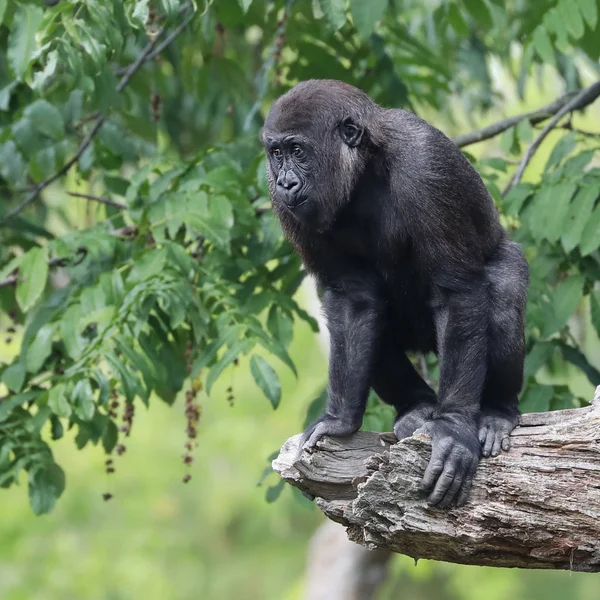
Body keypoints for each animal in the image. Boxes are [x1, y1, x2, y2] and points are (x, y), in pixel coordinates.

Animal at [260, 78, 528, 506]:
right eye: (276, 153)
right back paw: (417, 406)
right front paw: (340, 421)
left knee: (502, 290)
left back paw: (497, 412)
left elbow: (457, 293)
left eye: (298, 151)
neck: (365, 168)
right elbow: (352, 302)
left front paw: (454, 430)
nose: (286, 182)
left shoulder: (428, 165)